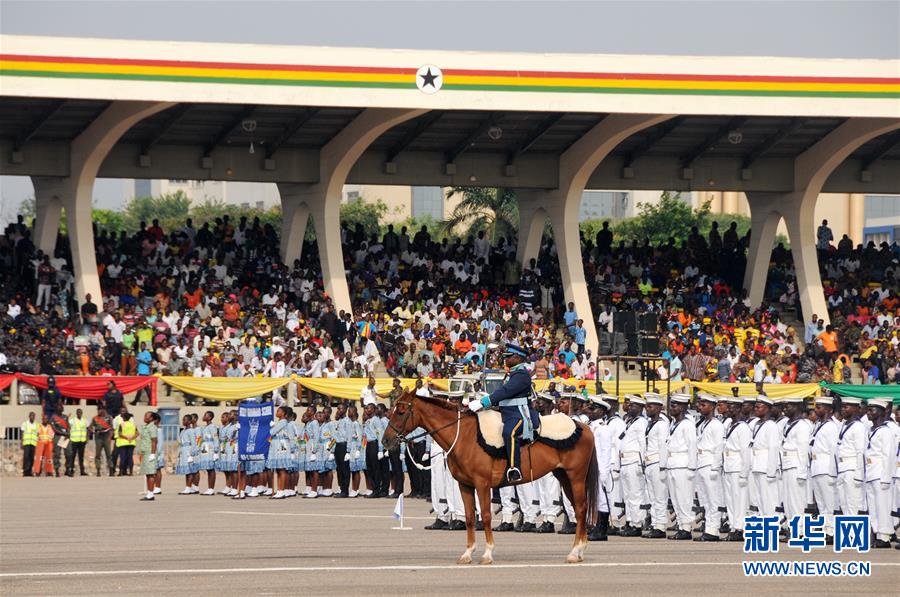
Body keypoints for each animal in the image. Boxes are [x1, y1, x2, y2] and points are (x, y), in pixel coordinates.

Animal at [382, 388, 596, 564]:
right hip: (564, 477)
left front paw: (487, 553)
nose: (386, 441)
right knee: (579, 508)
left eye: (401, 412)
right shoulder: (465, 485)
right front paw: (468, 553)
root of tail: (584, 427)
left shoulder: (482, 484)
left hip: (576, 477)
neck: (464, 436)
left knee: (580, 509)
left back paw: (574, 552)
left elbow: (485, 515)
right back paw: (580, 550)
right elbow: (470, 517)